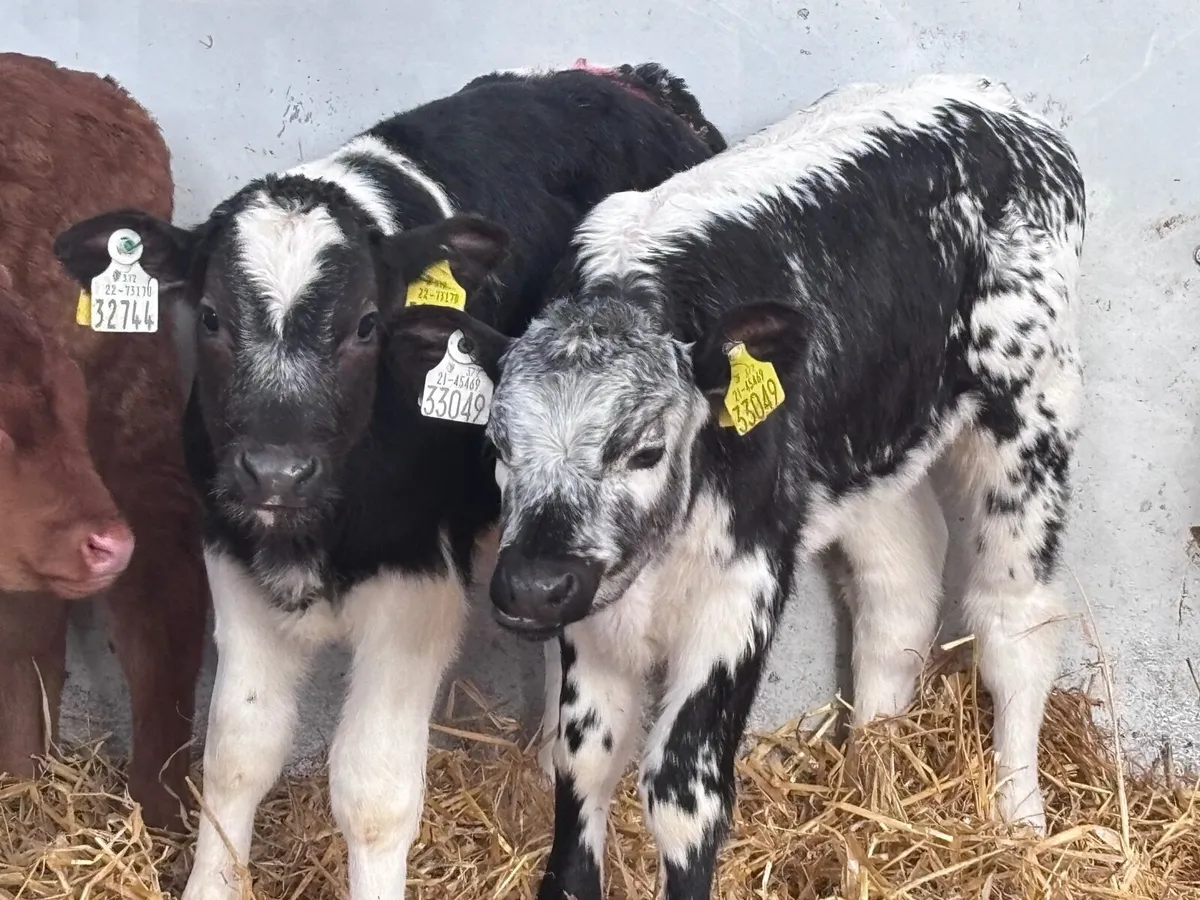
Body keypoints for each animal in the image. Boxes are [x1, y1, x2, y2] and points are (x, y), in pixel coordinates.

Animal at [54, 60, 725, 900]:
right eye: (209, 316)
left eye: (367, 325)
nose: (276, 469)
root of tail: (635, 84)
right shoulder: (230, 554)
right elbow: (237, 753)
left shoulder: (416, 587)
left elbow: (372, 792)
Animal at [390, 73, 1086, 900]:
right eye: (497, 444)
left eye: (647, 450)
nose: (531, 585)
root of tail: (988, 95)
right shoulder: (593, 605)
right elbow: (582, 762)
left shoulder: (744, 582)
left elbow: (683, 790)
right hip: (870, 446)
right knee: (902, 586)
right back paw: (870, 774)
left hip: (1035, 404)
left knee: (1016, 617)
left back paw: (1021, 822)